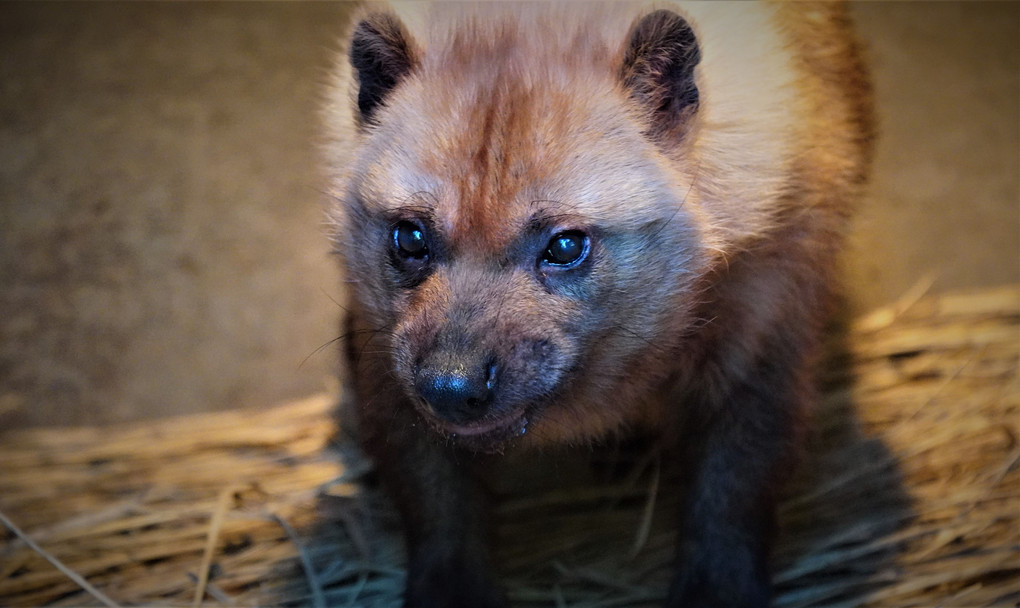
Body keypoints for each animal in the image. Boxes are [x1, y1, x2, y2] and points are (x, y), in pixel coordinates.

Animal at [322, 2, 873, 603]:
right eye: (410, 236)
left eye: (565, 245)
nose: (450, 386)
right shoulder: (387, 374)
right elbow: (437, 508)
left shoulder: (761, 352)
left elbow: (731, 498)